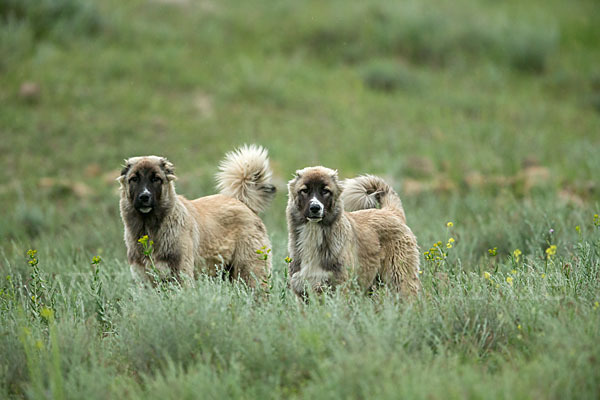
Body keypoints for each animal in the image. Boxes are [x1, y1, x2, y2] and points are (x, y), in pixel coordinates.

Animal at [118, 145, 276, 286]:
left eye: (156, 179)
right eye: (134, 179)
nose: (144, 197)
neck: (149, 228)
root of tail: (243, 203)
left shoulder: (181, 275)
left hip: (250, 273)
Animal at [288, 166, 422, 296]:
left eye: (325, 191)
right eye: (304, 190)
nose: (315, 208)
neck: (313, 232)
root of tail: (392, 211)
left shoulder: (340, 288)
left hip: (399, 280)